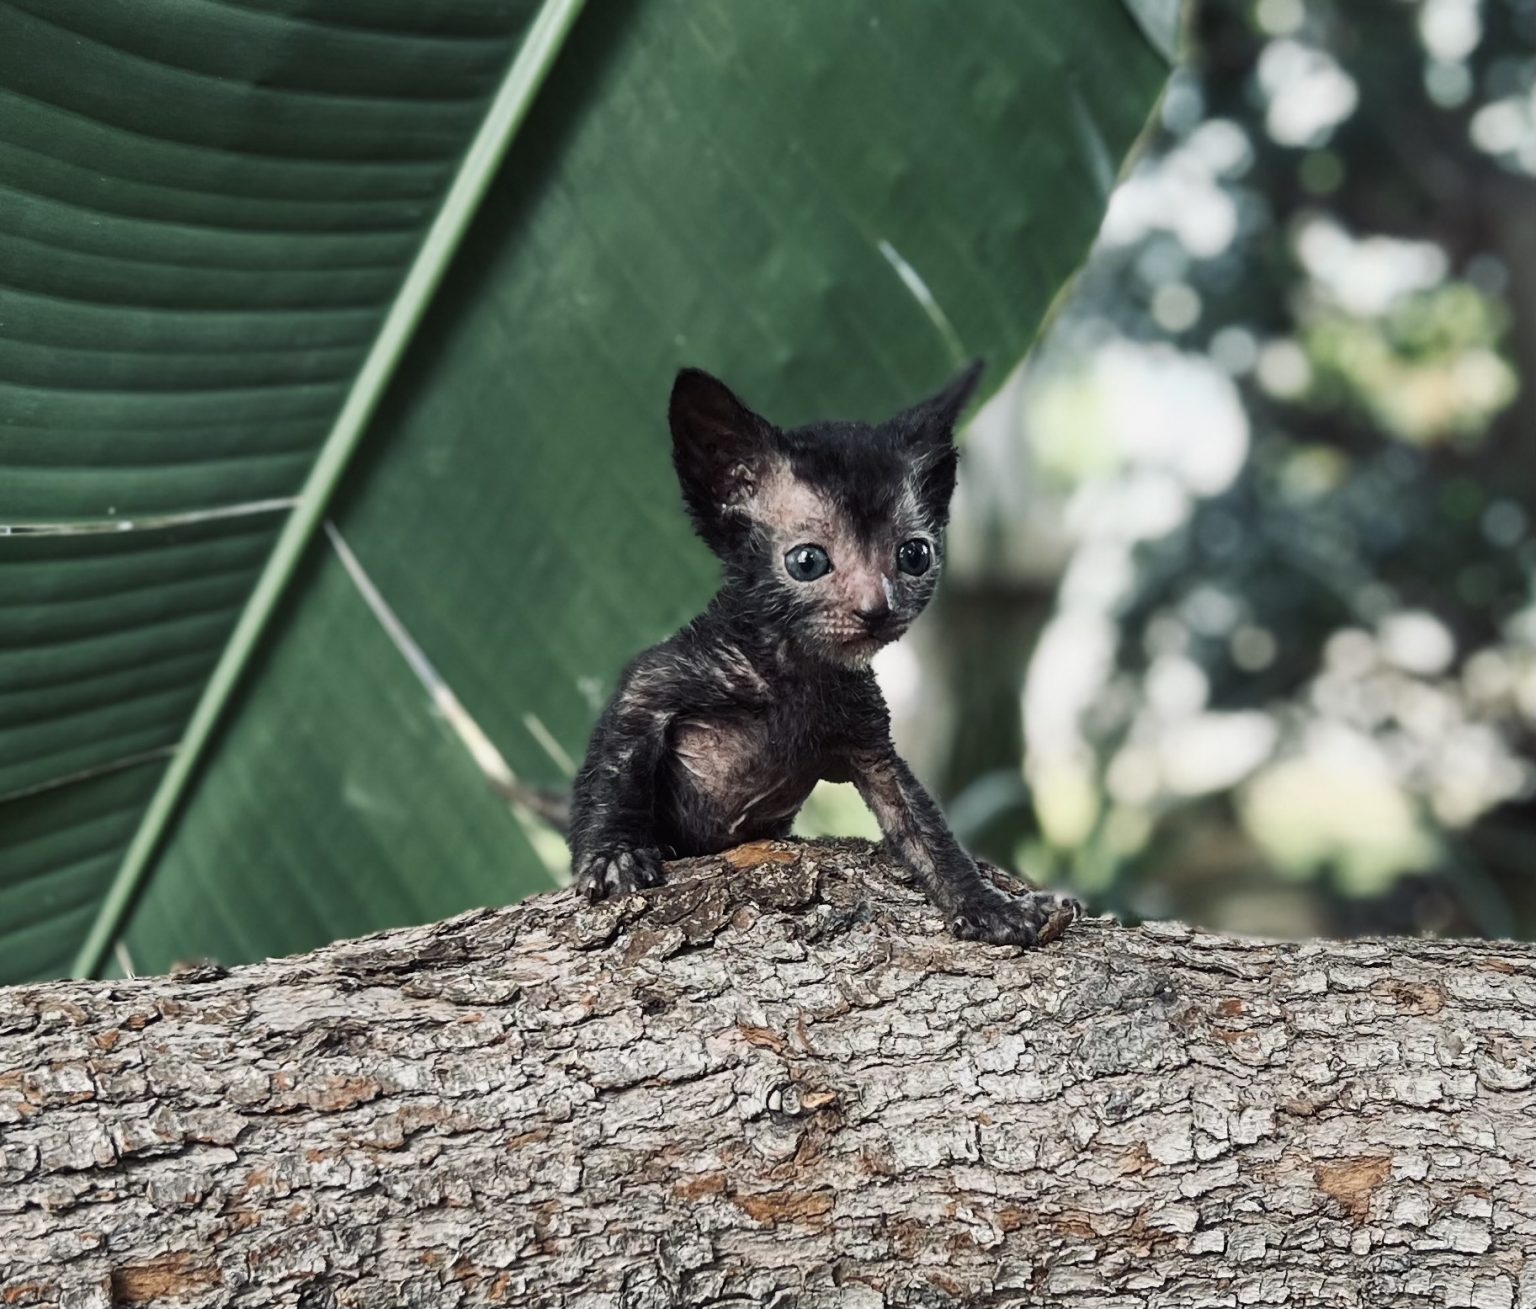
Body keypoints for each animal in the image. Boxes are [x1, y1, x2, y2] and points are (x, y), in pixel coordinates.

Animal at [565, 362, 1081, 946]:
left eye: (915, 555)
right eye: (807, 562)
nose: (877, 609)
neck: (792, 671)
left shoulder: (869, 739)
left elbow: (924, 825)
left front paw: (988, 905)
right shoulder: (655, 681)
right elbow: (616, 763)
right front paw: (614, 853)